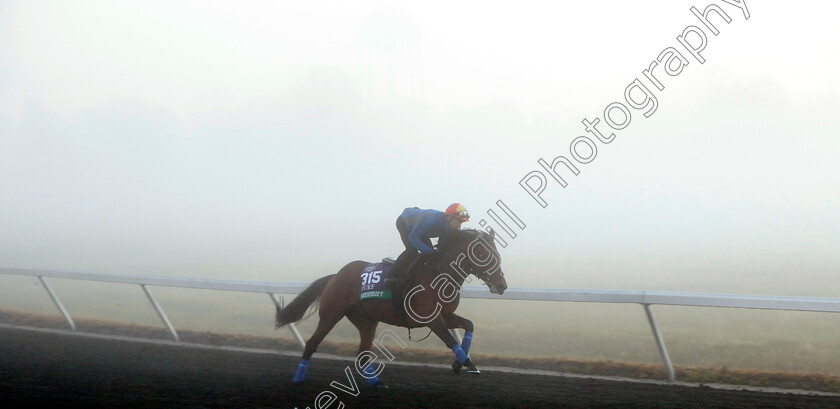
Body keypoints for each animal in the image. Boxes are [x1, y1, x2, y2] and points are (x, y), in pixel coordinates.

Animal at [276, 228, 506, 384]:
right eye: (485, 255)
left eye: (498, 256)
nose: (502, 285)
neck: (439, 274)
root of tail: (335, 276)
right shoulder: (431, 318)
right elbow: (450, 340)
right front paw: (467, 363)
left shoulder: (446, 315)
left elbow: (469, 326)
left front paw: (462, 363)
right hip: (331, 313)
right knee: (312, 344)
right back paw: (298, 378)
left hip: (366, 320)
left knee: (363, 354)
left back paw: (375, 383)